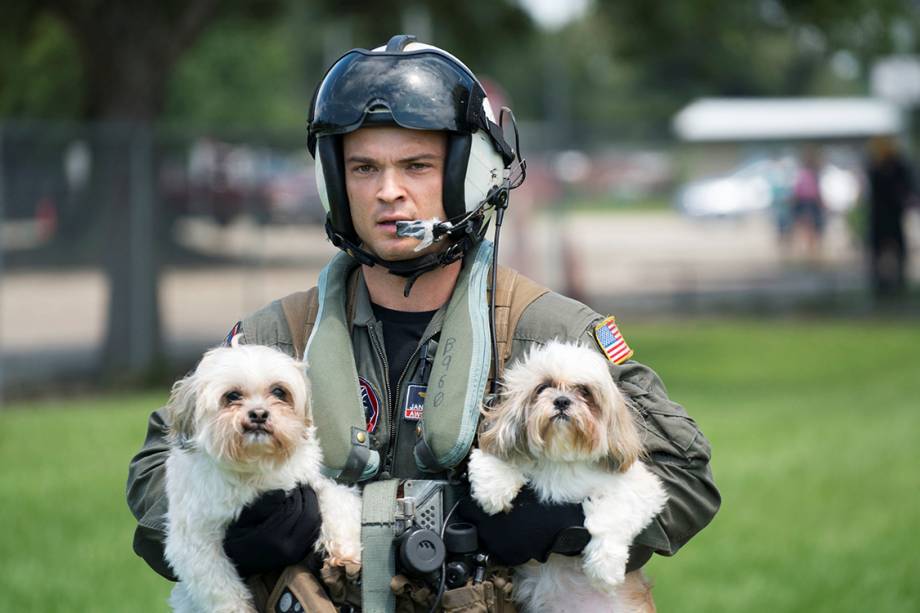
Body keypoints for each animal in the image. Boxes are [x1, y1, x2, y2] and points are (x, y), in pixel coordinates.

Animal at [165, 344, 362, 612]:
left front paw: (345, 552)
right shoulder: (196, 538)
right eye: (232, 396)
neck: (255, 464)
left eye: (279, 391)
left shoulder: (312, 480)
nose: (259, 413)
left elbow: (337, 502)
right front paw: (235, 608)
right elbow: (219, 586)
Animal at [470, 342, 664, 608]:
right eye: (543, 387)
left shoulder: (640, 487)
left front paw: (605, 567)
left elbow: (613, 515)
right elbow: (497, 458)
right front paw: (493, 490)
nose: (562, 401)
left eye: (584, 391)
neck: (561, 458)